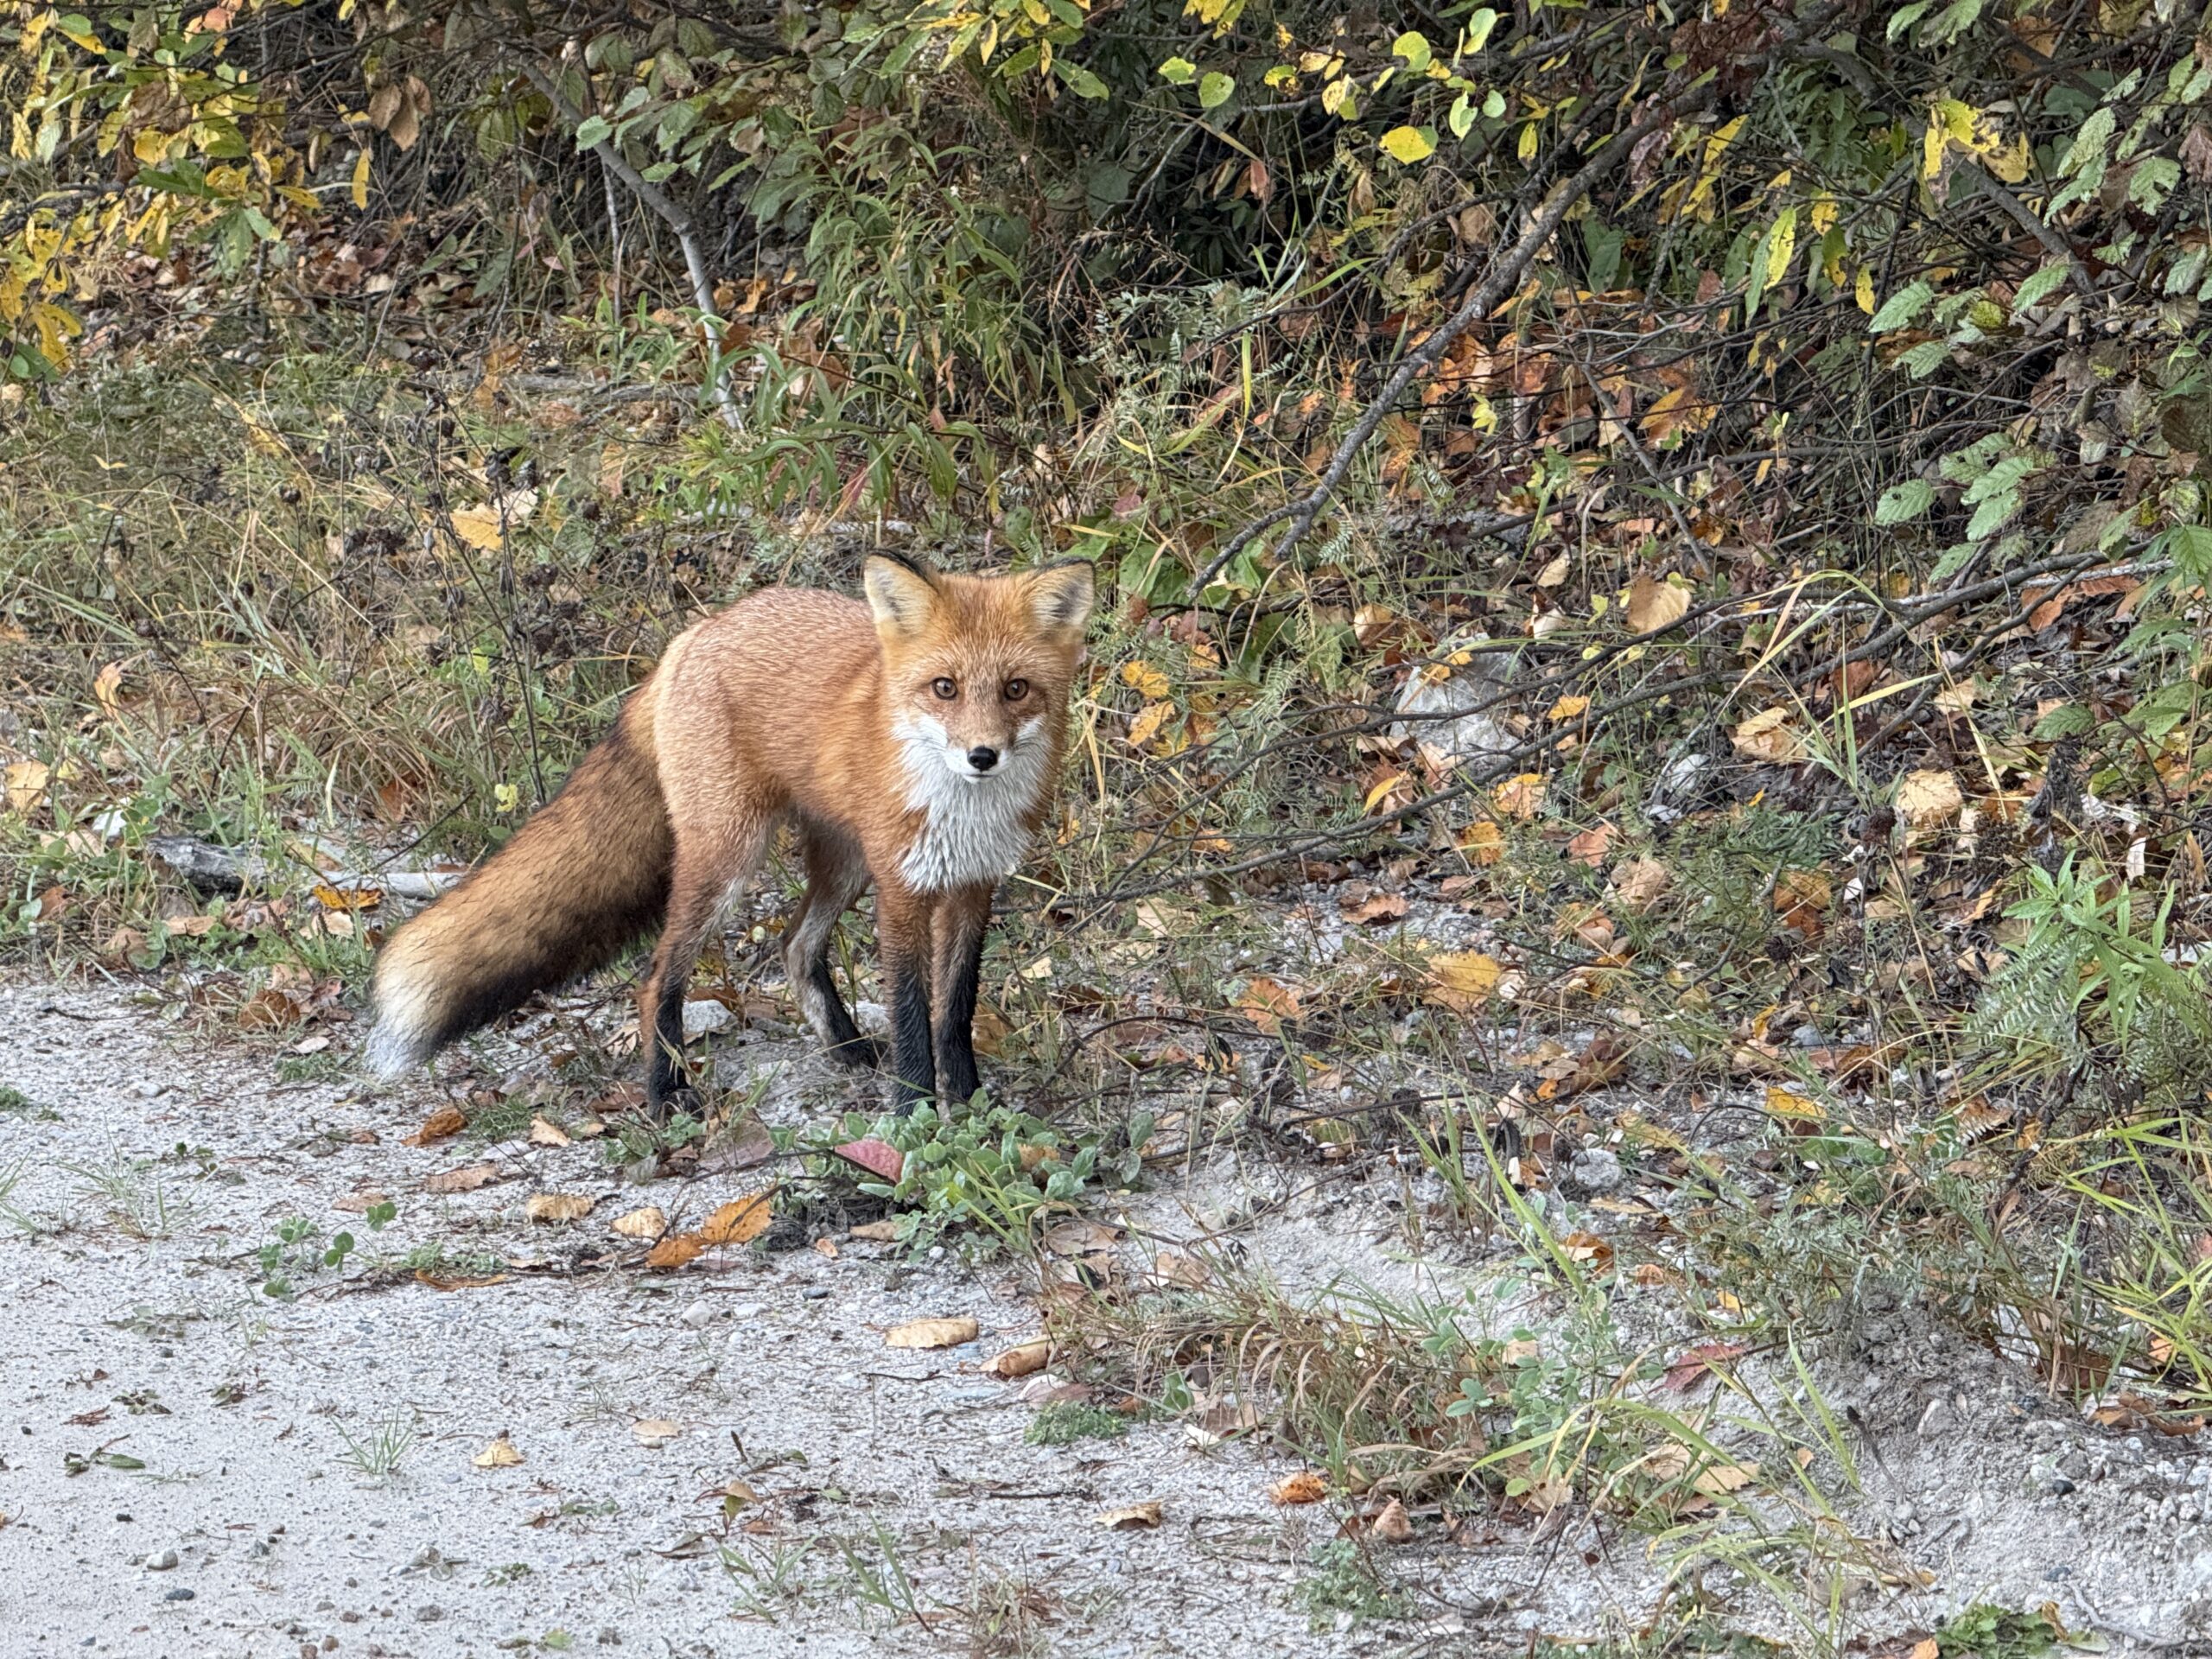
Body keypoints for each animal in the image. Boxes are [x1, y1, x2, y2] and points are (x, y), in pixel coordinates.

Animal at [364, 553, 1095, 1115]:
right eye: (944, 688)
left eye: (1016, 689)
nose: (982, 756)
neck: (964, 812)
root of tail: (697, 633)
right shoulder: (903, 889)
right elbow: (915, 1016)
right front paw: (915, 1116)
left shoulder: (973, 886)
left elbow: (955, 1013)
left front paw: (969, 1103)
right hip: (730, 861)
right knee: (657, 976)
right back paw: (666, 1092)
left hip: (843, 863)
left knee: (794, 947)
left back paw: (844, 1047)